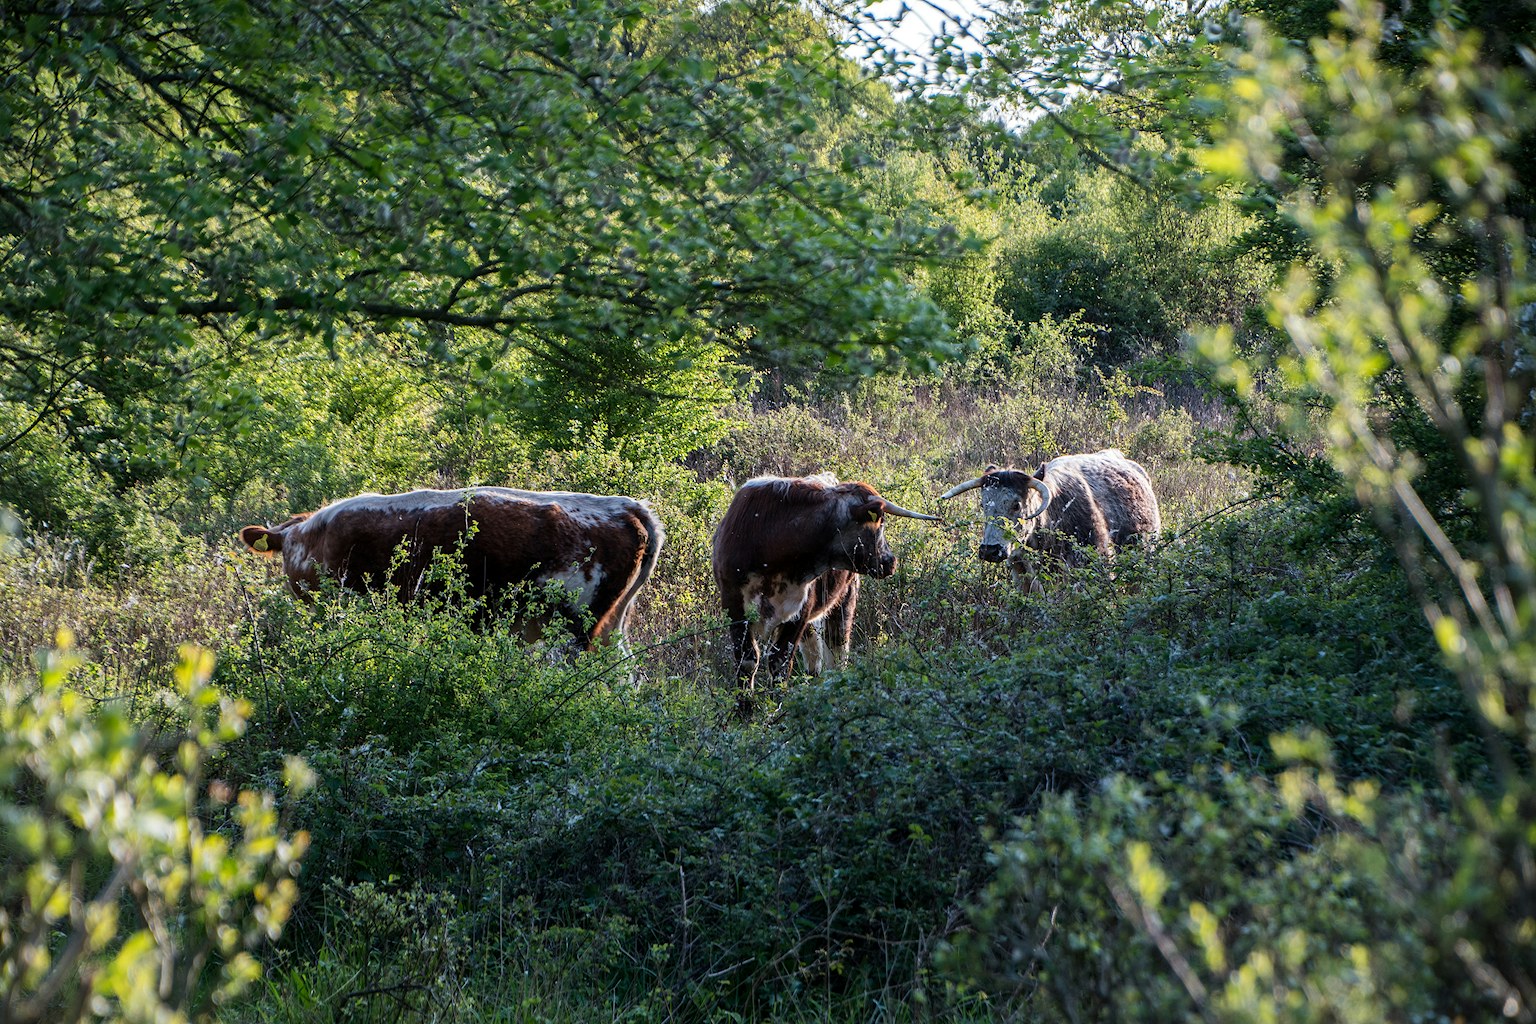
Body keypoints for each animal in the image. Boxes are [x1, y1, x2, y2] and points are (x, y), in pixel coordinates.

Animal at [711, 473, 941, 695]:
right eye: (880, 522)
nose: (891, 562)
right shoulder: (734, 607)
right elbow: (747, 662)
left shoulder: (799, 614)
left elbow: (780, 664)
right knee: (814, 659)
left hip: (842, 605)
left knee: (836, 654)